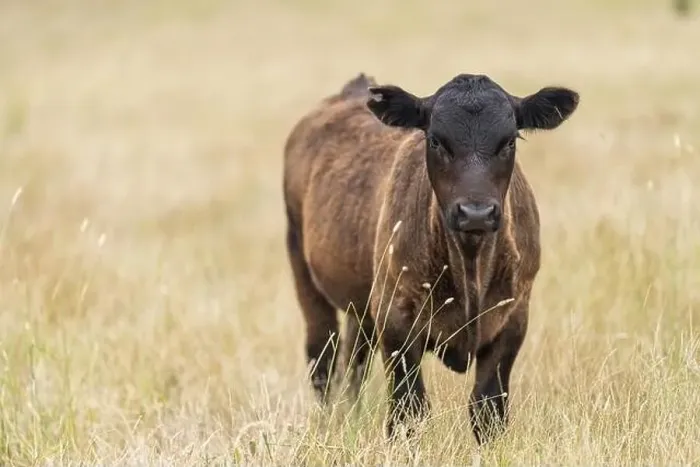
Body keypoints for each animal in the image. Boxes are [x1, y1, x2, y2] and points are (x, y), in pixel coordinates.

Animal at [282, 71, 579, 443]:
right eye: (437, 141)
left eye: (509, 141)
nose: (476, 213)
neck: (469, 264)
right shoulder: (395, 320)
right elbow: (408, 410)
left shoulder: (513, 318)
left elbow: (488, 408)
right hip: (304, 270)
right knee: (323, 356)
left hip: (361, 303)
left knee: (354, 361)